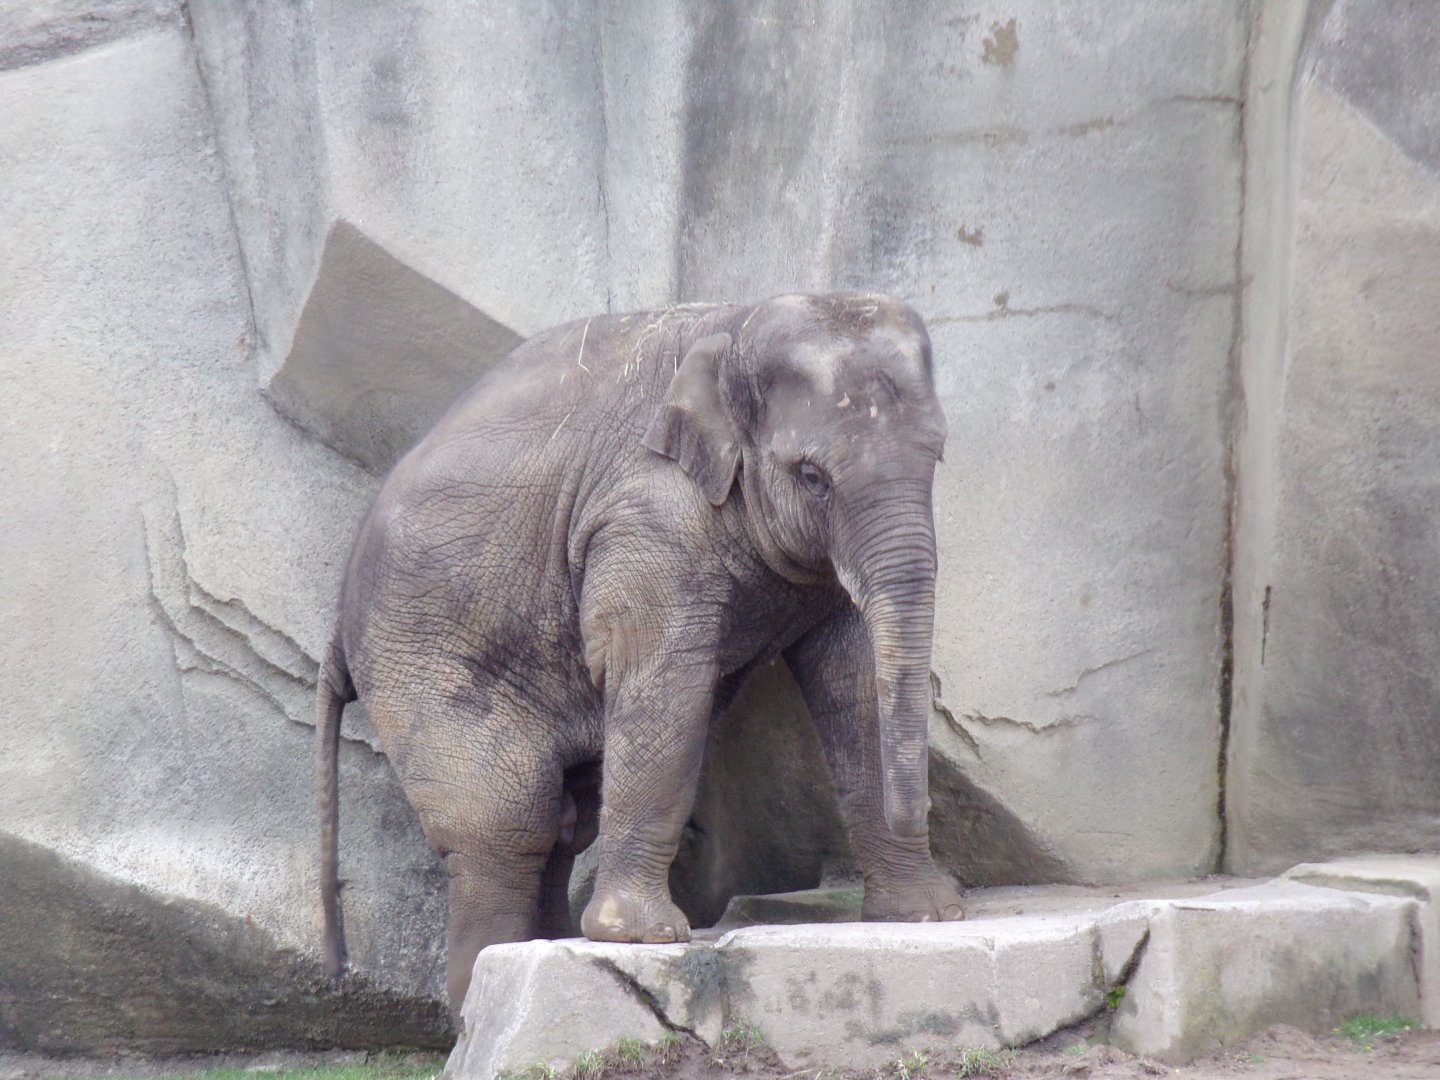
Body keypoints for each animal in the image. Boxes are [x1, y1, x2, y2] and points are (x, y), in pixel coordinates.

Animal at [315, 292, 964, 1018]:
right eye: (811, 476)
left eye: (937, 455)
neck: (735, 325)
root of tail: (336, 623)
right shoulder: (646, 518)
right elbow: (670, 684)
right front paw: (640, 938)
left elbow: (853, 682)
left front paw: (926, 917)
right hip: (424, 657)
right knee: (505, 826)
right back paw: (482, 995)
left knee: (559, 822)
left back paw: (540, 950)